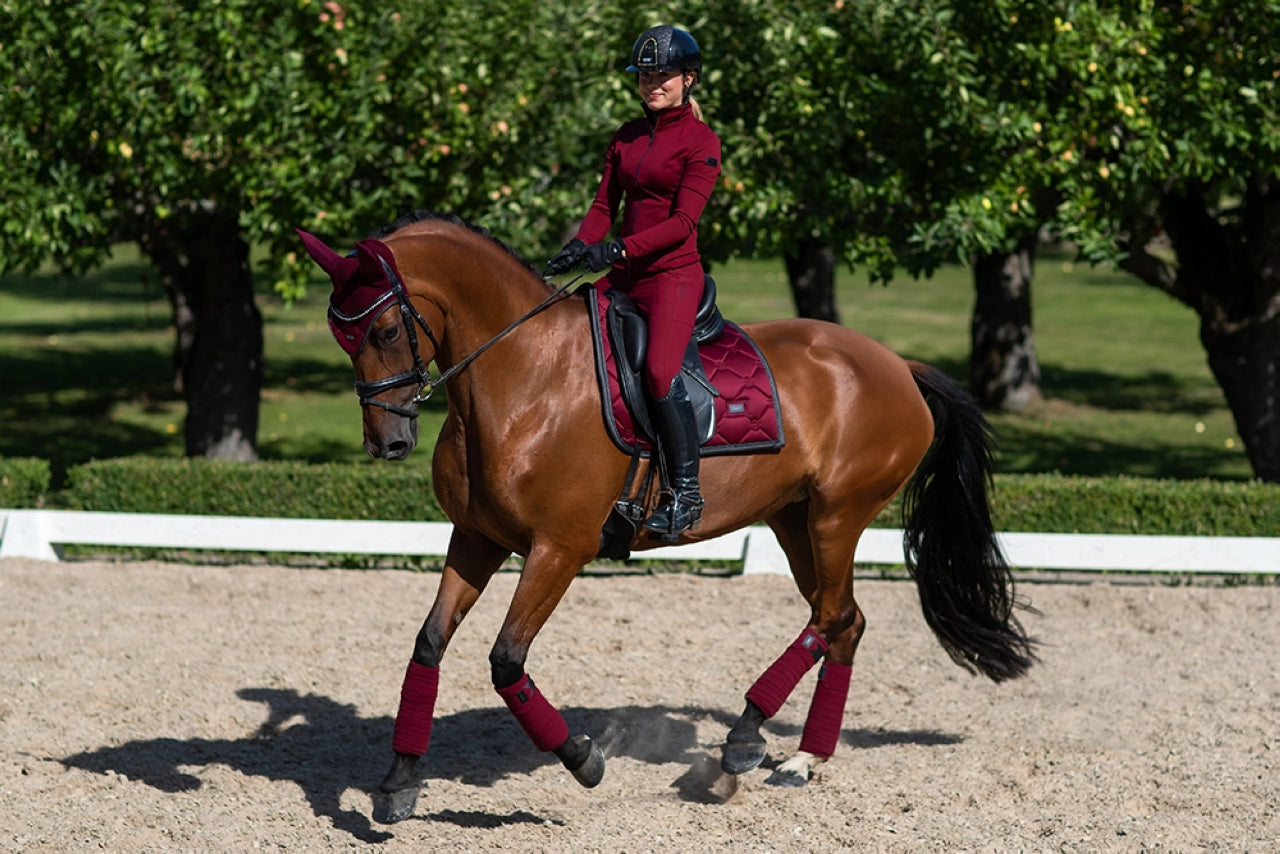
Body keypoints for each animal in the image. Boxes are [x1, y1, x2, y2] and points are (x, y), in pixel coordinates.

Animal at [294, 209, 1034, 824]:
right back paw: (802, 759)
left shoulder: (559, 548)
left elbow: (507, 661)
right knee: (844, 621)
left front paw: (584, 760)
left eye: (386, 329)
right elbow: (428, 645)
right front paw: (397, 783)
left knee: (828, 619)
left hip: (836, 516)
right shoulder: (476, 538)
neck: (521, 376)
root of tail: (896, 365)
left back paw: (743, 741)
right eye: (340, 334)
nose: (388, 442)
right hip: (795, 522)